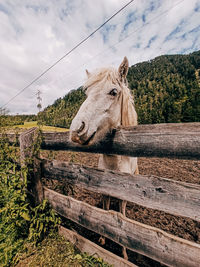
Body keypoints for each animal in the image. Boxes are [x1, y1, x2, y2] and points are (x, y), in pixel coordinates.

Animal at [70, 57, 138, 260]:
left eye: (113, 92)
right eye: (87, 92)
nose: (76, 130)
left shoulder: (124, 193)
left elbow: (121, 218)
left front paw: (124, 252)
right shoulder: (105, 189)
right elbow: (106, 210)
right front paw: (102, 238)